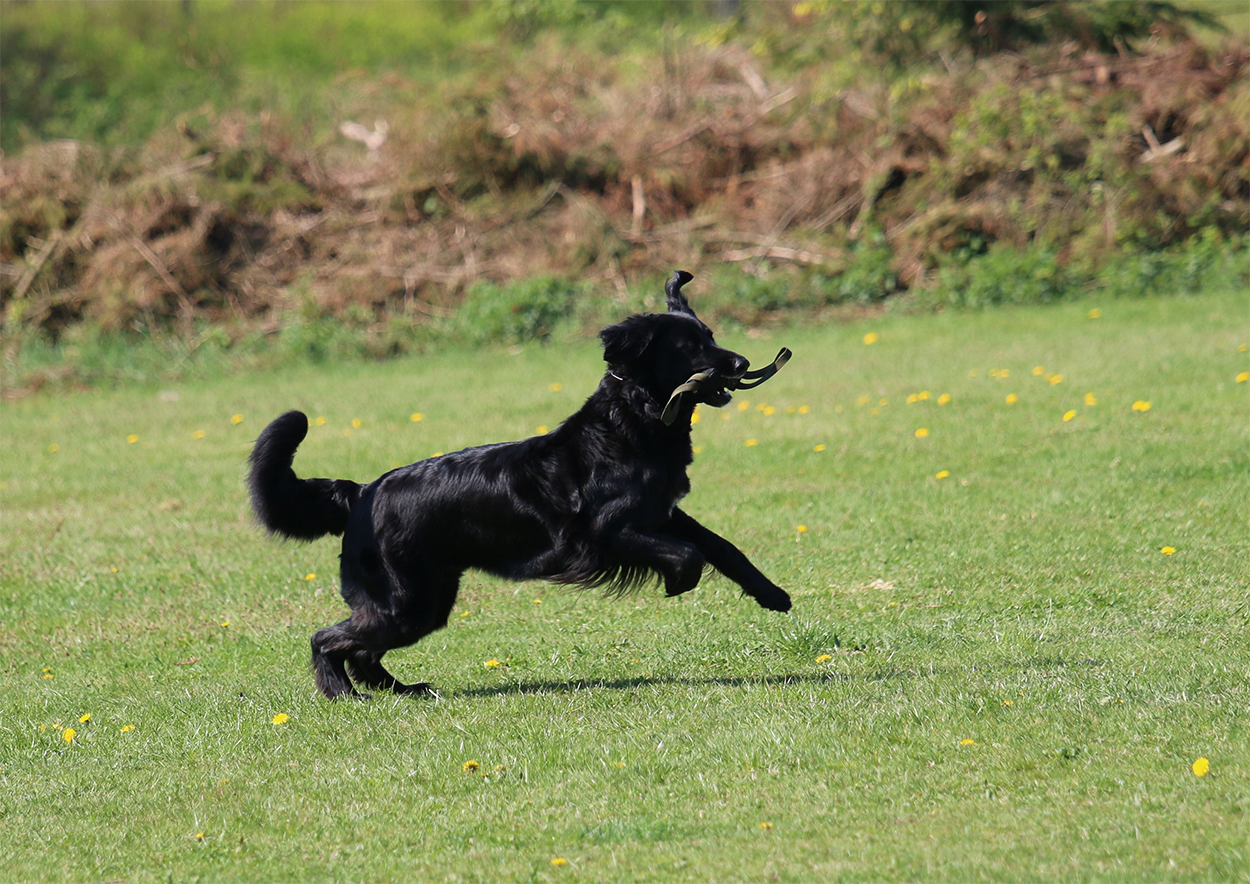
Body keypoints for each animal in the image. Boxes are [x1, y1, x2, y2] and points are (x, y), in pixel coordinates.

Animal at [249, 270, 792, 699]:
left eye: (711, 335)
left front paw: (772, 594)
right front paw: (679, 582)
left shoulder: (665, 514)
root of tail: (362, 491)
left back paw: (404, 690)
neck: (630, 425)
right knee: (326, 639)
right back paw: (342, 694)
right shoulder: (604, 534)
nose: (742, 364)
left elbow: (721, 546)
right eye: (689, 347)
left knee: (363, 650)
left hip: (424, 600)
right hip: (407, 601)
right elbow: (689, 554)